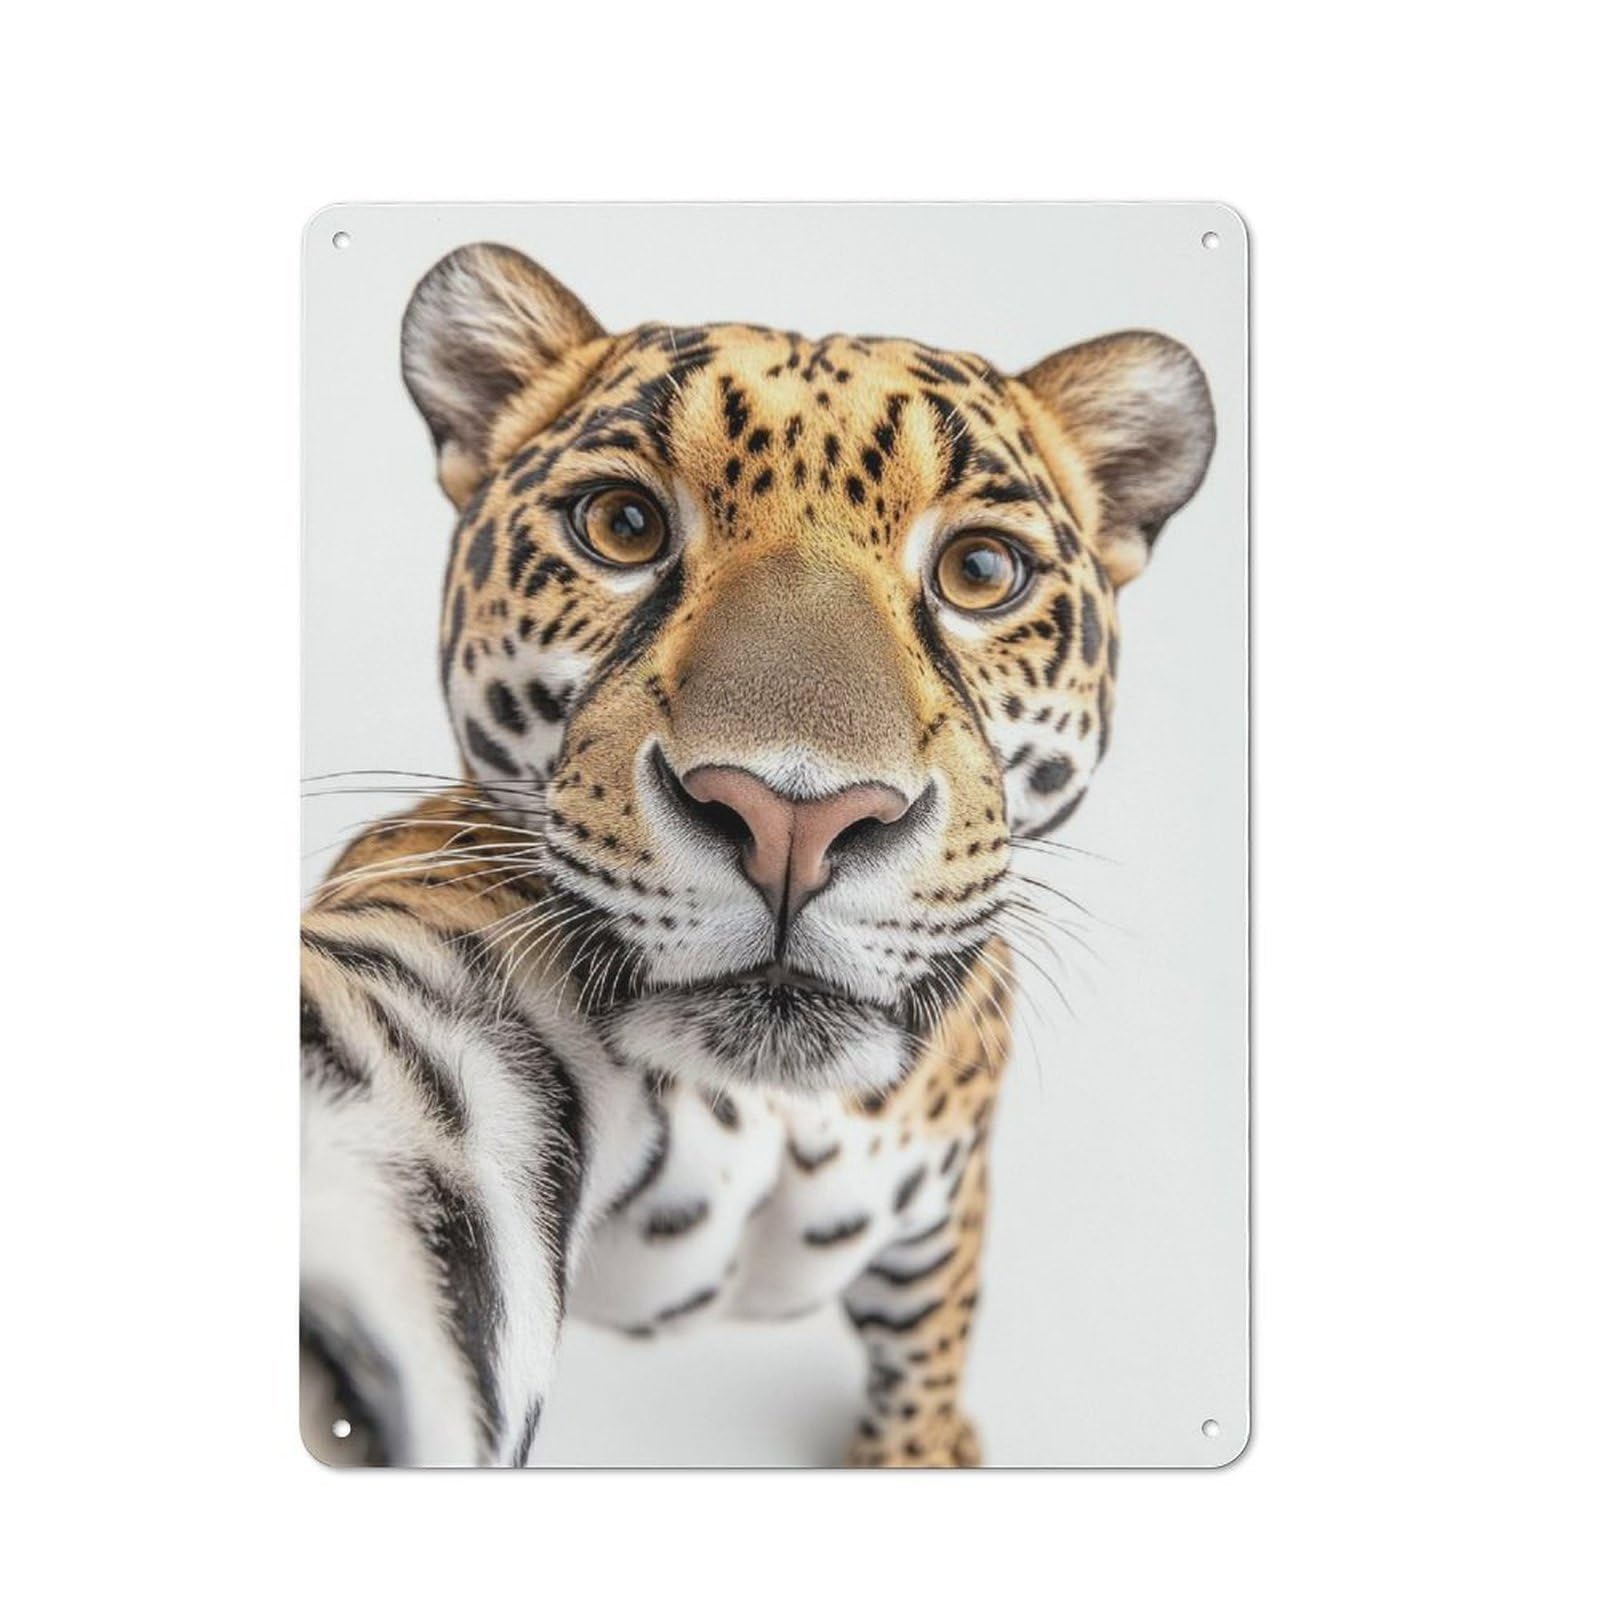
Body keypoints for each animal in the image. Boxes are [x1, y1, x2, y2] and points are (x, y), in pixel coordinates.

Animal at [300, 241, 1215, 1467]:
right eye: (623, 525)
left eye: (981, 571)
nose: (794, 819)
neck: (778, 1112)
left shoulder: (946, 1210)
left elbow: (931, 1344)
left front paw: (920, 1448)